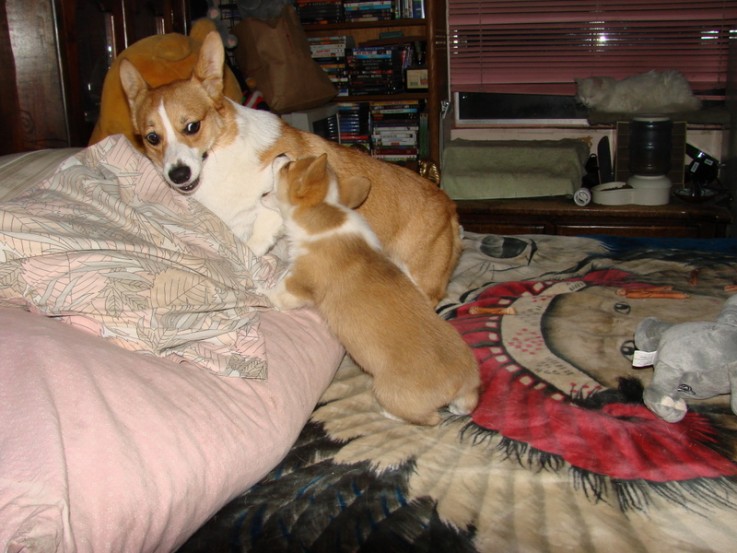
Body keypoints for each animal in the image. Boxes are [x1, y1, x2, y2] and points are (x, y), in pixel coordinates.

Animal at [119, 31, 460, 302]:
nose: (178, 175)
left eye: (192, 127)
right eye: (152, 138)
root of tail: (450, 210)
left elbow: (258, 232)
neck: (219, 161)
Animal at [268, 153, 480, 424]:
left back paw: (389, 413)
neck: (328, 212)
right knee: (465, 406)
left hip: (388, 391)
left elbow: (278, 292)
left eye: (287, 167)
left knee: (430, 419)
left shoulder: (299, 281)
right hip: (465, 396)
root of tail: (461, 381)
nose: (280, 154)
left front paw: (261, 292)